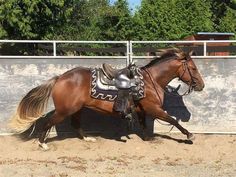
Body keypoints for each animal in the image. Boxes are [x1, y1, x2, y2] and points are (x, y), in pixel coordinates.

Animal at [9, 47, 205, 150]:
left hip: (77, 109)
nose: (201, 85)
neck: (151, 81)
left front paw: (148, 138)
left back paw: (87, 138)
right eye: (193, 69)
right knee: (48, 122)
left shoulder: (142, 110)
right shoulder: (153, 108)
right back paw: (42, 143)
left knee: (75, 123)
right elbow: (172, 120)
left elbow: (144, 125)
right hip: (65, 110)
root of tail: (59, 78)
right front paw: (189, 135)